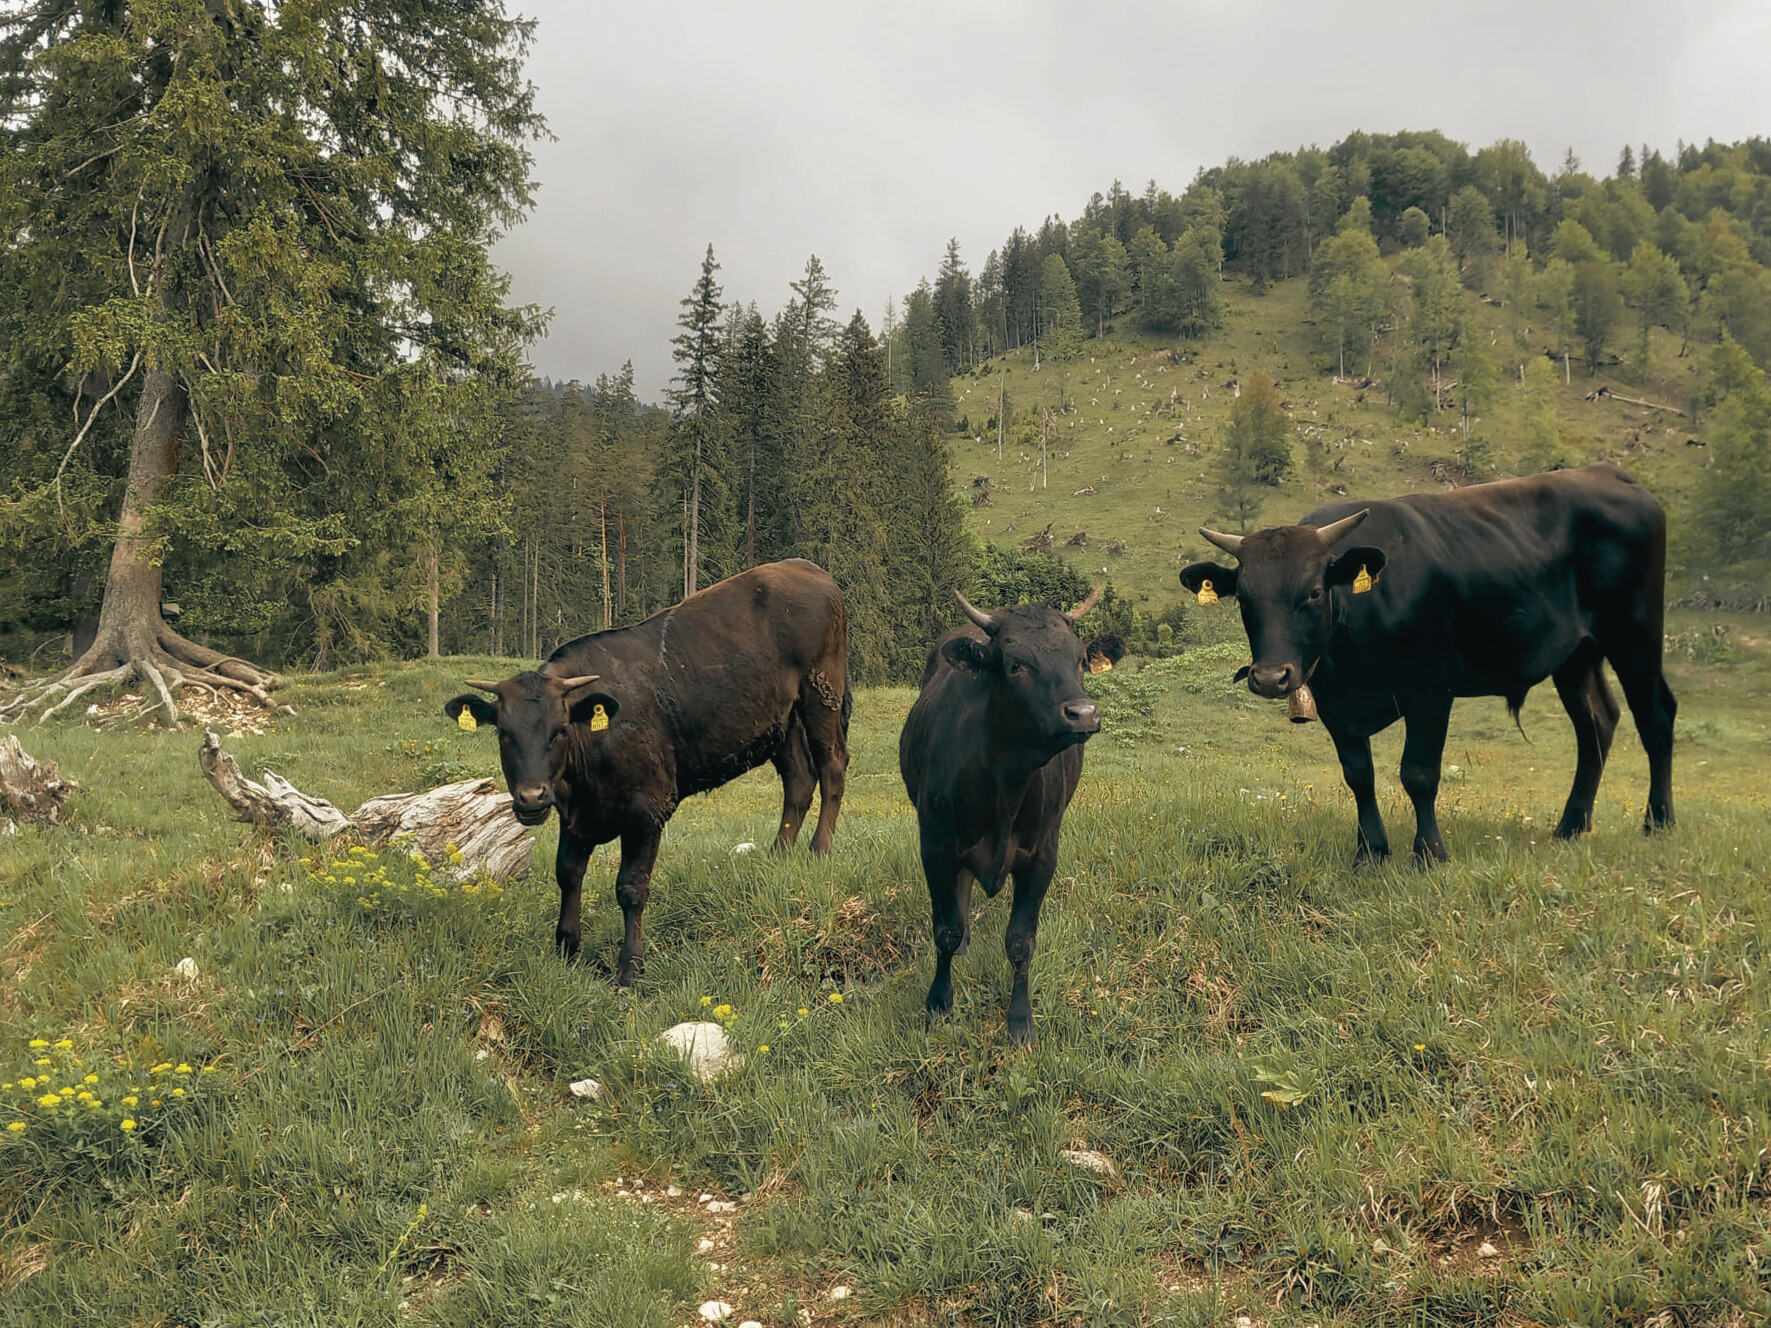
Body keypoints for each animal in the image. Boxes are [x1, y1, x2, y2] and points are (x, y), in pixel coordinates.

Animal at [445, 559, 851, 983]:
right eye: (504, 733)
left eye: (560, 730)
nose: (531, 796)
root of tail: (810, 569)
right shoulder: (576, 819)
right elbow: (567, 874)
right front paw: (567, 948)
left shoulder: (646, 811)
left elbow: (630, 888)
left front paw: (629, 967)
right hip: (781, 722)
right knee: (799, 780)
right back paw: (778, 854)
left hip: (822, 694)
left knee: (832, 768)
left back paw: (819, 848)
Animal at [899, 589, 1125, 1045]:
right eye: (1016, 664)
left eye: (1079, 659)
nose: (1083, 713)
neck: (1005, 781)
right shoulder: (934, 845)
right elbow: (945, 931)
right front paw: (938, 1003)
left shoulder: (1042, 854)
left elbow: (1021, 941)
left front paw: (1020, 1020)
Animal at [1178, 463, 1675, 863]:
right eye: (1244, 598)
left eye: (1315, 592)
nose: (1269, 677)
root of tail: (1612, 474)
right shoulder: (1336, 704)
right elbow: (1359, 775)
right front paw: (1371, 851)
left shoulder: (1432, 691)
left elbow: (1418, 773)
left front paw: (1429, 853)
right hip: (1575, 654)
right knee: (1596, 723)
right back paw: (1570, 826)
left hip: (1635, 633)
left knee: (1655, 716)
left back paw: (1658, 822)